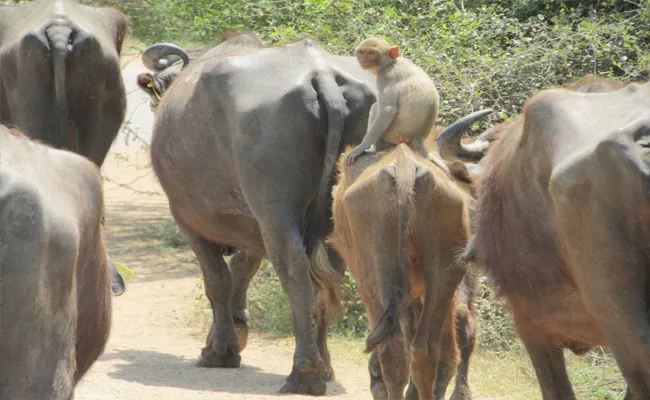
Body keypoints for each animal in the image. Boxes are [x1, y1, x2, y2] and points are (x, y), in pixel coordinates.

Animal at [344, 34, 446, 172]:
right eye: (362, 52)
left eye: (372, 53)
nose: (364, 60)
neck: (391, 63)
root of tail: (418, 138)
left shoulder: (386, 77)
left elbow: (388, 110)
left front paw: (360, 148)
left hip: (395, 134)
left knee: (376, 108)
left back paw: (375, 149)